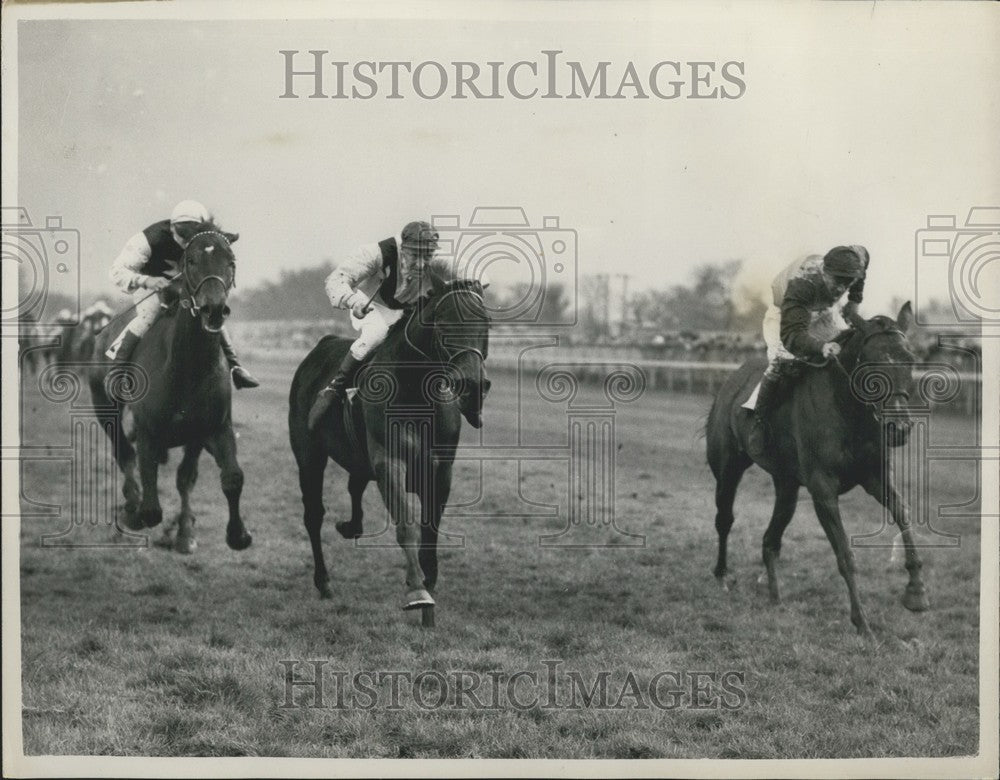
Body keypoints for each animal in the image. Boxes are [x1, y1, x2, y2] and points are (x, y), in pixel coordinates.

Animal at [89, 222, 252, 556]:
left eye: (230, 261)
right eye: (190, 261)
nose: (213, 309)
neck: (186, 370)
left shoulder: (210, 429)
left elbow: (221, 478)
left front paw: (208, 533)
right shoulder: (148, 431)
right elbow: (151, 503)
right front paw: (141, 513)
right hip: (105, 408)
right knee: (124, 454)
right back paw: (130, 508)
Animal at [290, 280, 492, 616]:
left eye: (486, 323)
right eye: (442, 324)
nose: (474, 385)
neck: (417, 391)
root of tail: (321, 345)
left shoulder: (442, 469)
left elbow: (431, 527)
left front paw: (430, 577)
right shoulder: (389, 461)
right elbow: (406, 526)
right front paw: (418, 589)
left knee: (354, 485)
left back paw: (350, 526)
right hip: (308, 454)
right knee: (313, 515)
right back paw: (323, 581)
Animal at [708, 302, 924, 636]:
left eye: (909, 359)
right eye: (871, 362)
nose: (898, 429)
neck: (849, 413)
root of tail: (731, 383)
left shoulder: (875, 477)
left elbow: (903, 514)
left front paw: (916, 591)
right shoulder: (823, 489)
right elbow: (845, 554)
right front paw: (862, 621)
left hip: (786, 486)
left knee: (770, 541)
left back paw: (775, 596)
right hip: (728, 467)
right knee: (725, 519)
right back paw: (722, 575)